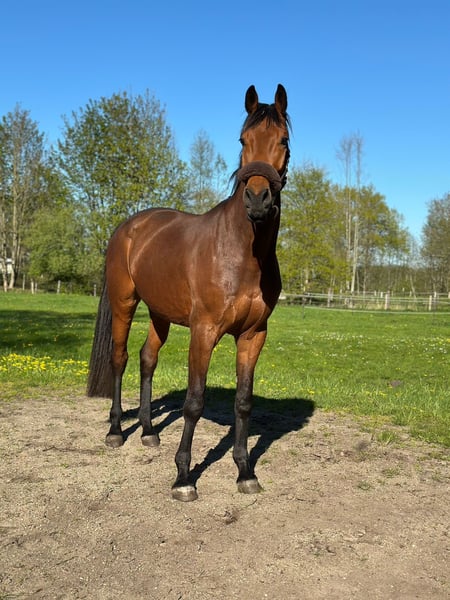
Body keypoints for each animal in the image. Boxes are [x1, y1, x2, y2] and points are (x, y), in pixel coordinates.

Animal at [87, 84, 291, 501]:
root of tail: (128, 227)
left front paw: (245, 472)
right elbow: (193, 403)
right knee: (121, 358)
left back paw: (148, 432)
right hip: (124, 303)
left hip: (160, 314)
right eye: (243, 140)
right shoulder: (204, 332)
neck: (242, 253)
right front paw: (183, 477)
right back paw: (116, 431)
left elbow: (243, 403)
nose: (257, 199)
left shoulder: (253, 336)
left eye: (283, 140)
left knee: (147, 359)